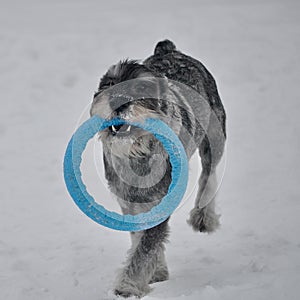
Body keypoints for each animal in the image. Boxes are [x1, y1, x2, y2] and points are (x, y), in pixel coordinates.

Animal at [90, 39, 226, 298]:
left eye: (141, 88)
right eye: (108, 84)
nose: (117, 100)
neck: (137, 155)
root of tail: (169, 49)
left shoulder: (161, 204)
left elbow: (146, 247)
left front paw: (127, 286)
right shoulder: (130, 204)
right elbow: (140, 240)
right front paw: (157, 272)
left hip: (214, 138)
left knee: (209, 175)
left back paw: (203, 217)